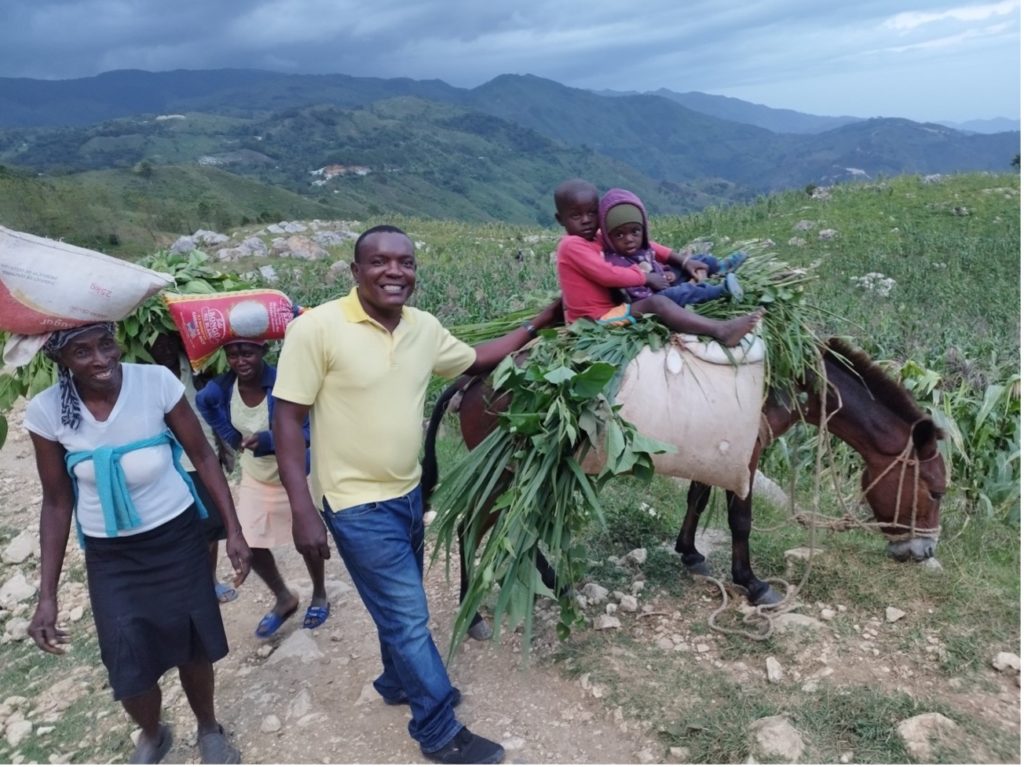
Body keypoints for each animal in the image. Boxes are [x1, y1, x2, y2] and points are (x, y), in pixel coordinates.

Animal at [419, 339, 946, 634]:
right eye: (937, 490)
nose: (922, 553)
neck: (786, 377)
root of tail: (473, 380)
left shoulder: (717, 453)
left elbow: (697, 496)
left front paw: (690, 553)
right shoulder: (746, 458)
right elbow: (740, 520)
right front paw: (753, 583)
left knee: (515, 529)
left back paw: (557, 584)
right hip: (505, 471)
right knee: (473, 527)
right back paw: (475, 616)